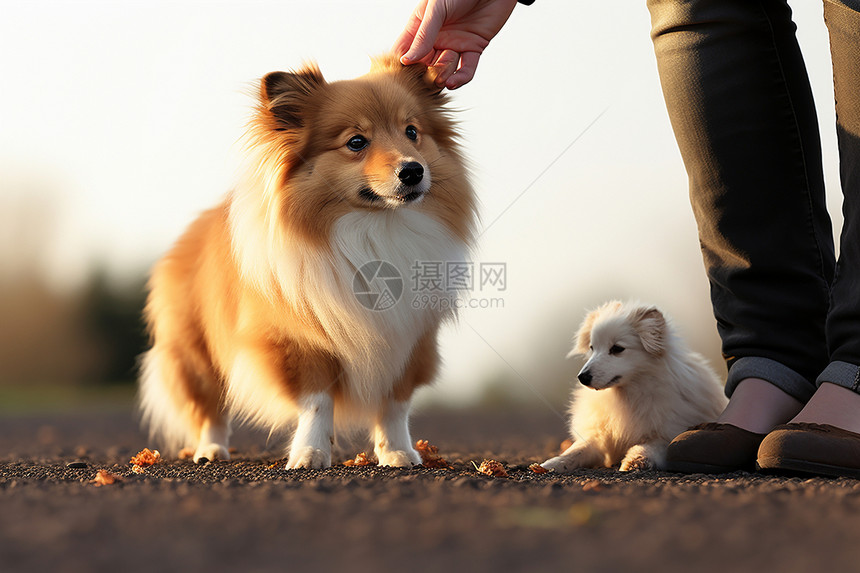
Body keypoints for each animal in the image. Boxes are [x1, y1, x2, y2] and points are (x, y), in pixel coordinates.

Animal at [544, 302, 724, 472]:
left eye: (617, 349)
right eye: (592, 348)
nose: (582, 377)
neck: (629, 394)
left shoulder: (668, 433)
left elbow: (650, 447)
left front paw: (635, 461)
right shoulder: (599, 437)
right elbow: (578, 450)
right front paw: (552, 464)